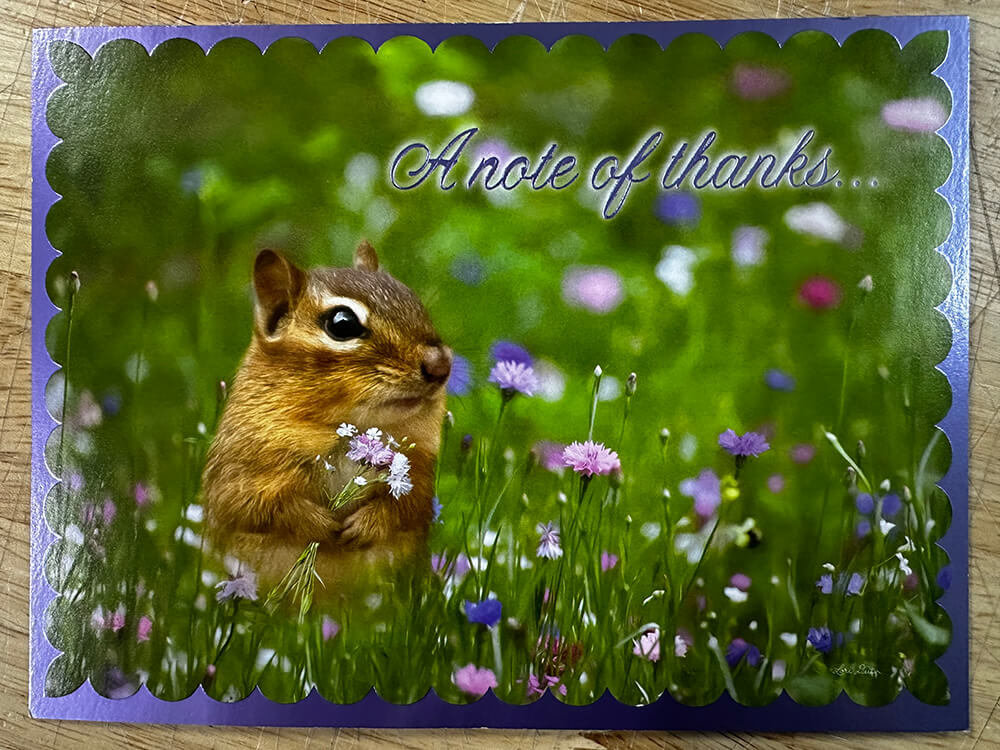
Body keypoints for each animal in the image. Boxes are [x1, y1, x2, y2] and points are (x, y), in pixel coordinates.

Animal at [202, 241, 452, 592]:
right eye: (342, 323)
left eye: (412, 297)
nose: (441, 365)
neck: (353, 429)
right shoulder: (241, 476)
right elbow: (258, 508)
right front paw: (322, 526)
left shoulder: (419, 474)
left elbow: (407, 508)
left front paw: (365, 525)